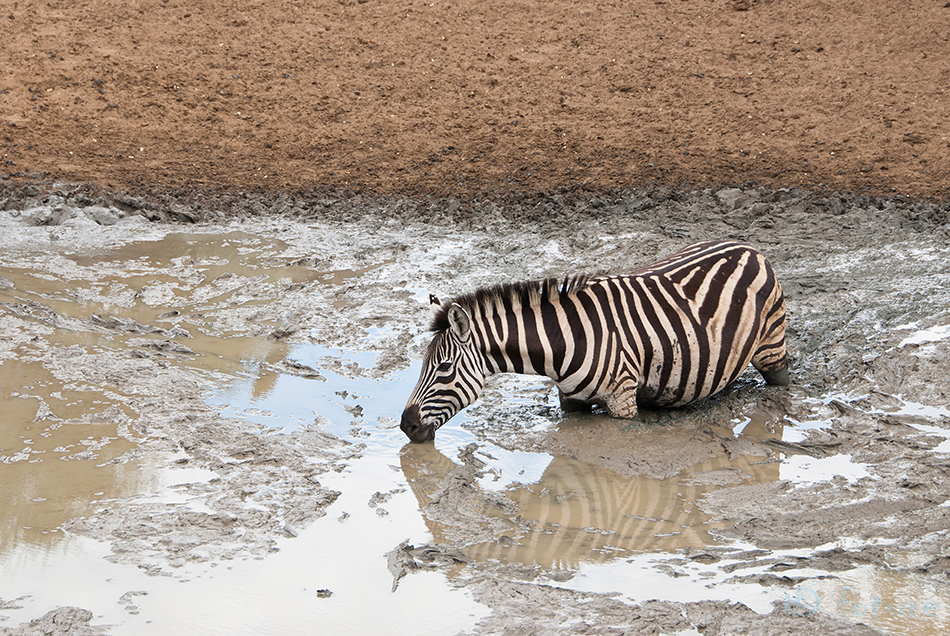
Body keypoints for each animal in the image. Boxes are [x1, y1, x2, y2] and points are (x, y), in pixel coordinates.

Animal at [400, 238, 788, 442]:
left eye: (444, 367)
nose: (406, 425)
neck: (562, 341)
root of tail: (748, 246)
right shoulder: (571, 402)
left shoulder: (622, 401)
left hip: (772, 348)